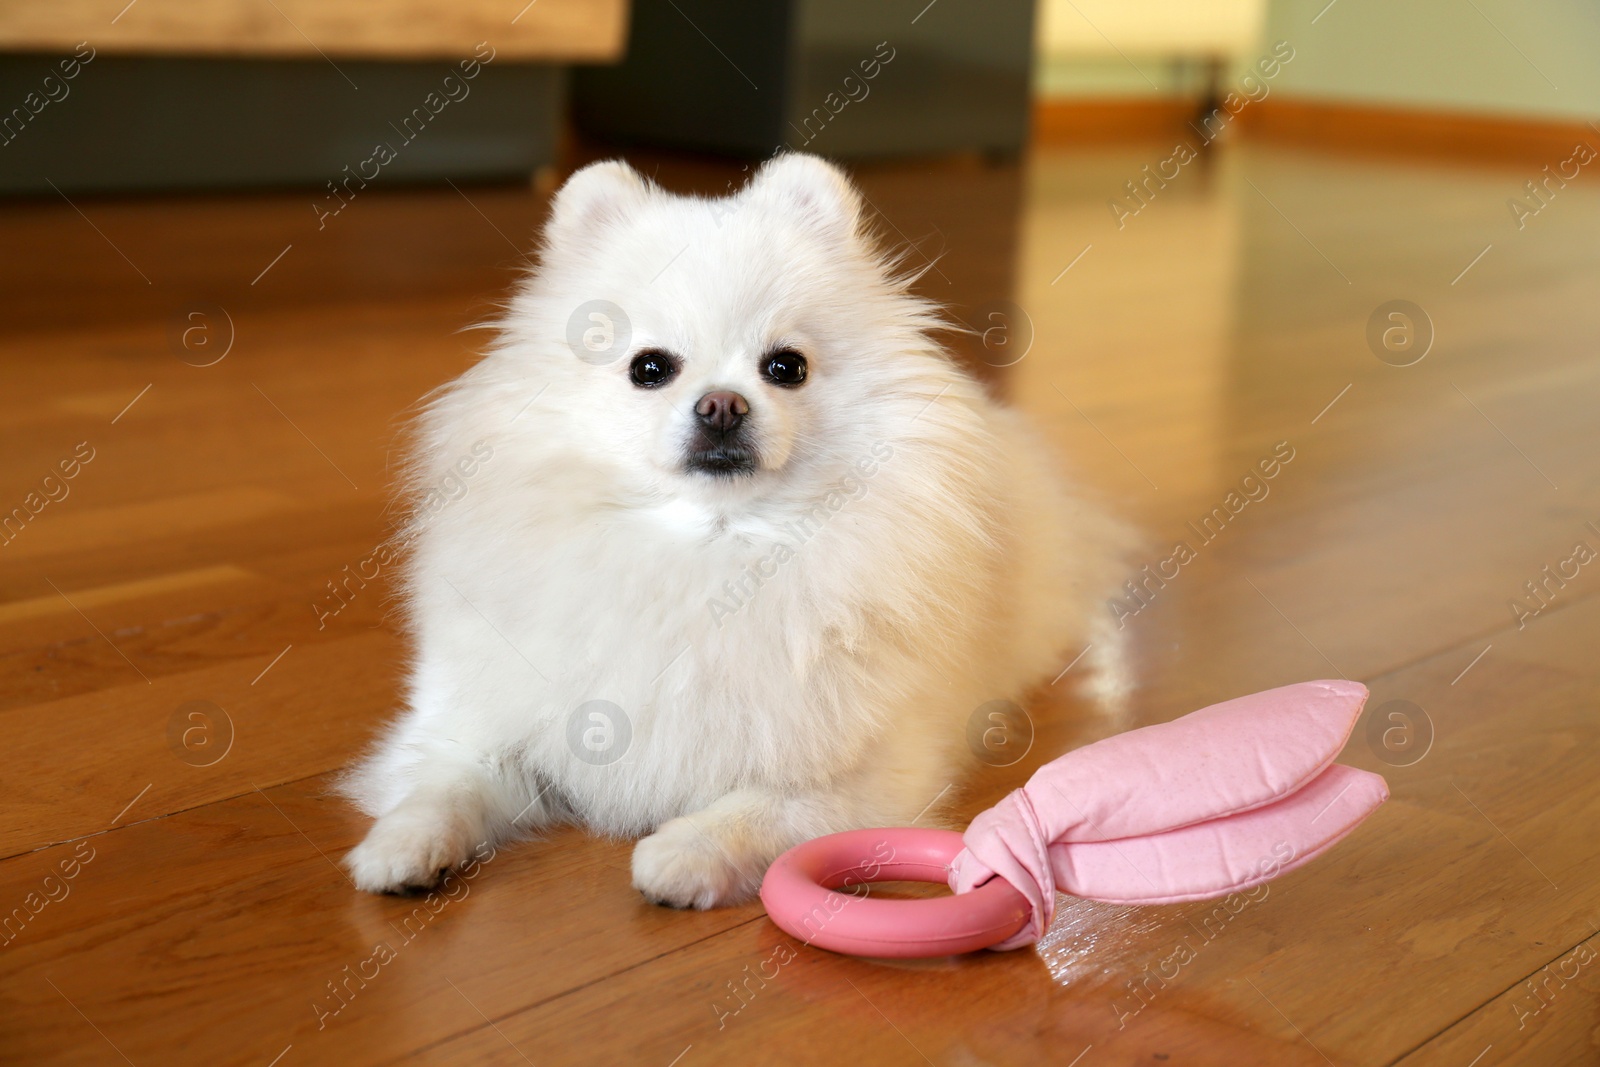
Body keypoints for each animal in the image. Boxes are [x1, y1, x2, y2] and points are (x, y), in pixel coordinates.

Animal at [345, 154, 1132, 908]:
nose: (722, 405)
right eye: (648, 368)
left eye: (786, 366)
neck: (707, 551)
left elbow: (762, 809)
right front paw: (400, 846)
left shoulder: (866, 774)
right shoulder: (478, 719)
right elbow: (446, 781)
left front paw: (681, 852)